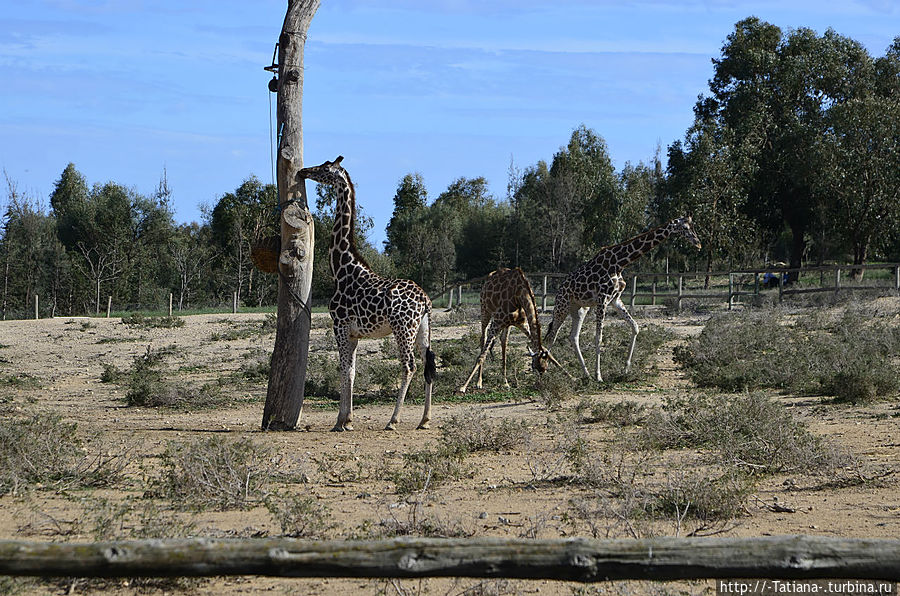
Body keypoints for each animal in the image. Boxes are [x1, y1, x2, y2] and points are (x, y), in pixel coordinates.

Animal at [296, 156, 436, 430]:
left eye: (325, 167)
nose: (304, 171)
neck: (342, 268)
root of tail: (424, 300)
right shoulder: (354, 333)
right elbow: (351, 370)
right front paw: (347, 419)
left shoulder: (339, 326)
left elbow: (344, 369)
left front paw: (341, 421)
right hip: (422, 328)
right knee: (428, 364)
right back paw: (424, 420)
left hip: (403, 328)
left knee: (409, 366)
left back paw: (393, 420)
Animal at [540, 218, 704, 382]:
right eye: (685, 227)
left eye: (693, 226)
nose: (698, 244)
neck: (619, 263)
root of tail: (560, 289)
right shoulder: (602, 300)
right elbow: (599, 338)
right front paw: (599, 376)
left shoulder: (615, 299)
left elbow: (635, 327)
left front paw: (625, 369)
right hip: (562, 306)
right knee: (551, 337)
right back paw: (546, 371)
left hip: (579, 309)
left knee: (573, 337)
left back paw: (583, 374)